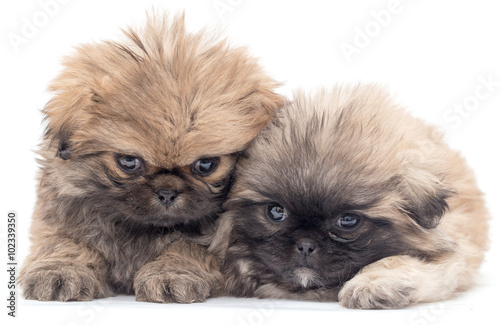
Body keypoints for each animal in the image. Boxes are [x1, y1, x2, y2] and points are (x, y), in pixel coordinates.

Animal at [19, 12, 284, 302]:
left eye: (205, 164)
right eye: (128, 162)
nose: (167, 192)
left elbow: (185, 248)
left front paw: (171, 274)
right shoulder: (60, 219)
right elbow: (65, 243)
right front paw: (59, 271)